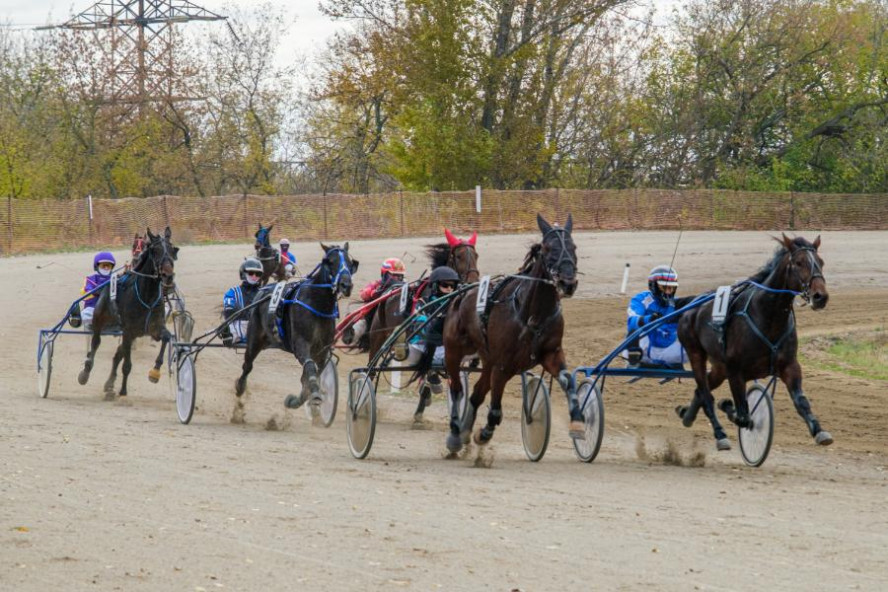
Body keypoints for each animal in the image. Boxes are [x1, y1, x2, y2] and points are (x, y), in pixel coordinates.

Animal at [78, 225, 179, 398]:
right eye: (156, 250)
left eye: (172, 250)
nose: (168, 276)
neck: (147, 296)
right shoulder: (128, 330)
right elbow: (127, 365)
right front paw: (123, 390)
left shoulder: (154, 328)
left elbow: (166, 337)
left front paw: (155, 372)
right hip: (100, 321)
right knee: (95, 343)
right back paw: (86, 370)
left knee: (118, 354)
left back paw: (110, 383)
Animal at [238, 243, 360, 410]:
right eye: (330, 261)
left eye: (350, 263)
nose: (346, 285)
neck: (317, 304)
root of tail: (262, 292)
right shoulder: (301, 344)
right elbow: (310, 368)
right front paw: (314, 395)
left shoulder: (322, 350)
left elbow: (311, 375)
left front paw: (296, 400)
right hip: (254, 338)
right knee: (247, 365)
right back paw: (240, 388)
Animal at [442, 215, 588, 450]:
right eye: (548, 248)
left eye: (573, 246)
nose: (568, 283)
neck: (532, 314)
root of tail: (461, 293)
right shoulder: (503, 365)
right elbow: (494, 412)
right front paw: (483, 434)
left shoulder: (552, 353)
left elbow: (568, 381)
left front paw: (578, 423)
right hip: (453, 352)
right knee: (456, 389)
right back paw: (456, 434)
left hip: (487, 359)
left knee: (476, 394)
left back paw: (464, 431)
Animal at [680, 234, 832, 450]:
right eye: (799, 262)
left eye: (821, 262)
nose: (820, 297)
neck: (768, 316)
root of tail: (693, 305)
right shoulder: (735, 370)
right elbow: (743, 417)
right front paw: (727, 406)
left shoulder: (790, 365)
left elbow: (801, 401)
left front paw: (819, 431)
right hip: (695, 354)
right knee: (705, 394)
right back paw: (720, 434)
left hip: (719, 367)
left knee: (702, 390)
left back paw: (687, 415)